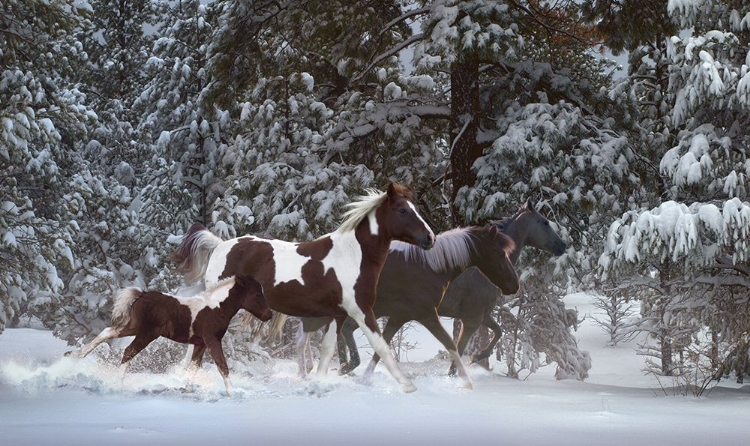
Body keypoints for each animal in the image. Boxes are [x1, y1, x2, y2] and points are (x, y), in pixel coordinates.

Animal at [64, 276, 270, 398]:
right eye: (255, 294)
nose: (268, 315)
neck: (216, 307)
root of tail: (142, 294)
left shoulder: (200, 343)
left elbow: (193, 368)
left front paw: (186, 389)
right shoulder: (212, 340)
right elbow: (223, 366)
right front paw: (232, 394)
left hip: (134, 327)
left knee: (108, 332)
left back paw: (74, 356)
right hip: (147, 333)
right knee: (128, 351)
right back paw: (115, 385)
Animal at [172, 183, 434, 392]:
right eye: (402, 210)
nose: (430, 238)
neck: (352, 256)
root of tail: (219, 246)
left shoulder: (336, 315)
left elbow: (327, 350)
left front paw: (318, 380)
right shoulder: (360, 310)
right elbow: (380, 345)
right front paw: (408, 385)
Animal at [334, 200, 564, 374]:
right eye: (544, 222)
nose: (562, 245)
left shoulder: (482, 316)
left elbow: (498, 331)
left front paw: (478, 355)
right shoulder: (471, 319)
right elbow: (459, 352)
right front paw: (464, 366)